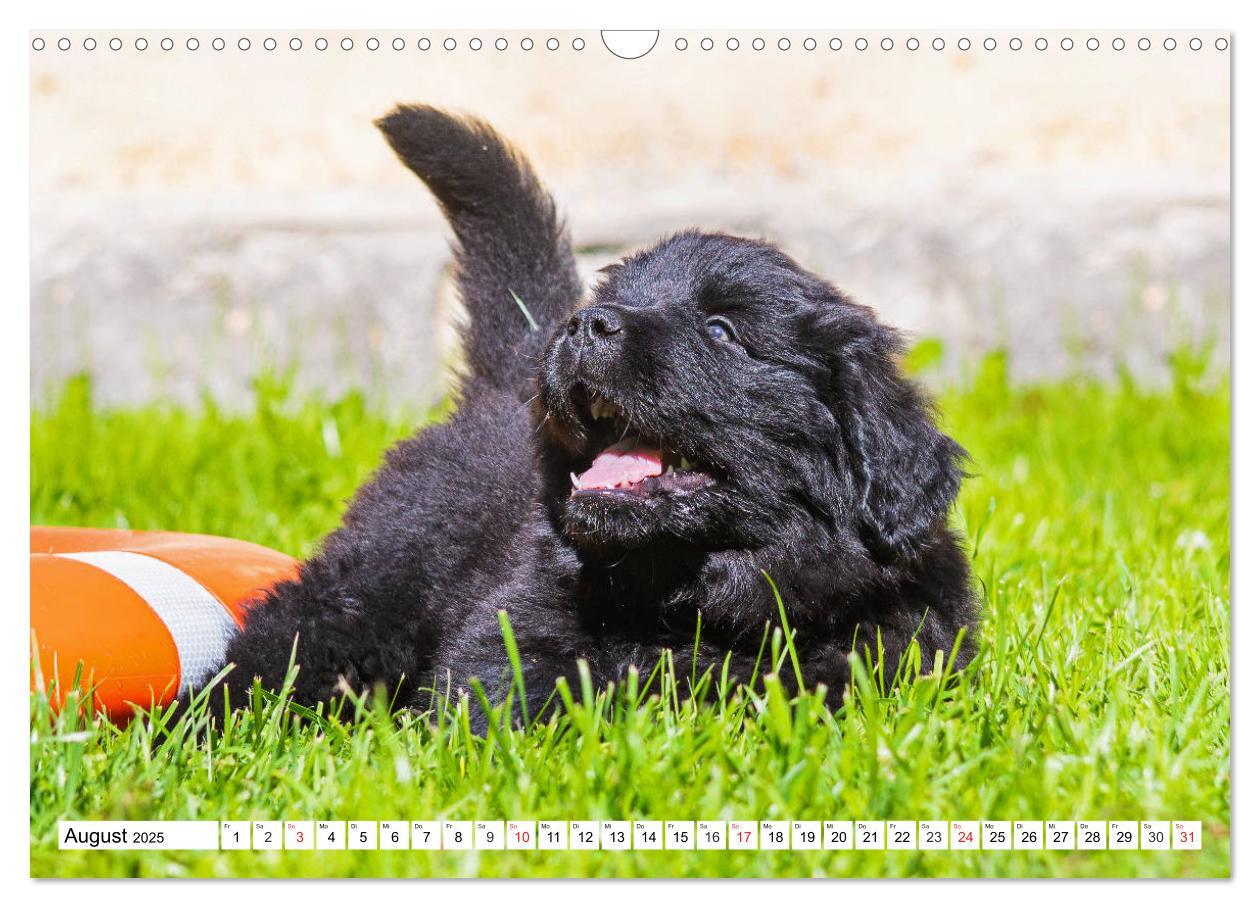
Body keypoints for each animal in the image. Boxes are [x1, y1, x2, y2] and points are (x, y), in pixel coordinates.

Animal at [221, 104, 977, 715]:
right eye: (612, 298)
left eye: (721, 331)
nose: (584, 324)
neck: (689, 599)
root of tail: (504, 388)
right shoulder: (511, 643)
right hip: (366, 591)